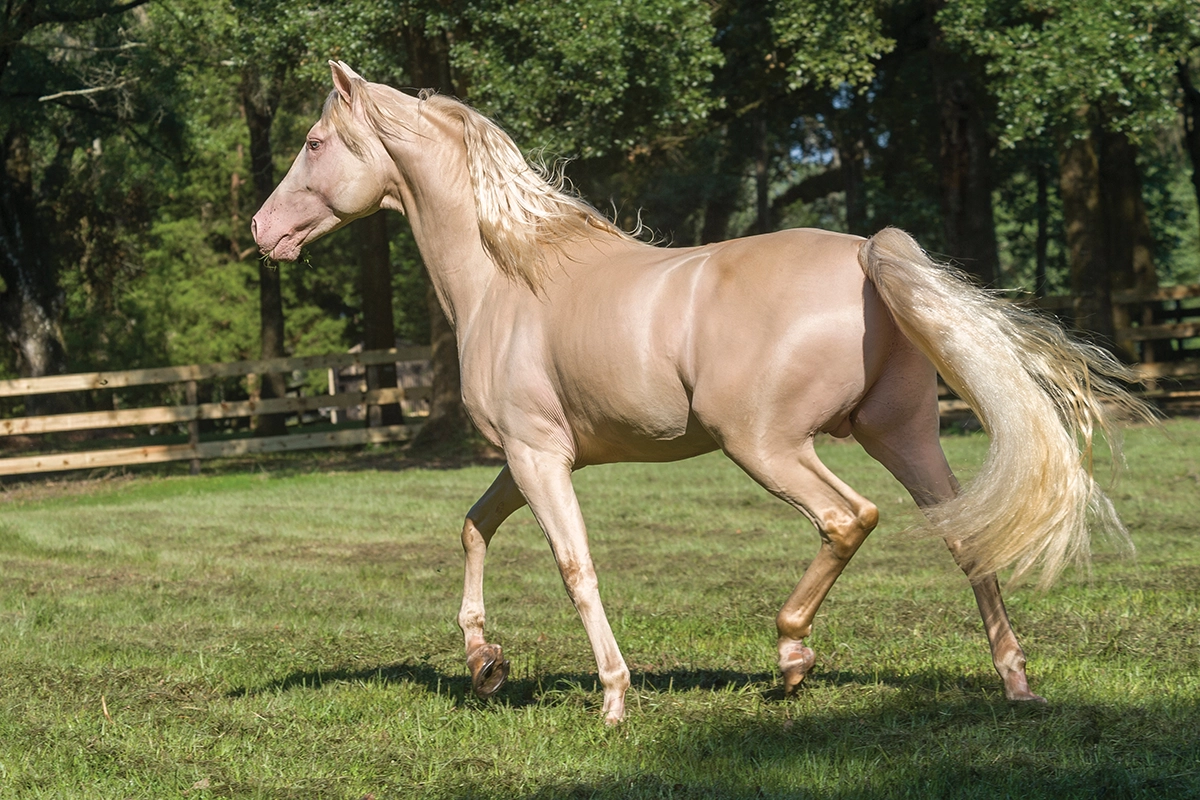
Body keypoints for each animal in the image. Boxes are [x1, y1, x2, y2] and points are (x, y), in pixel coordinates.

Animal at [252, 62, 1150, 724]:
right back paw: (1015, 683)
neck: (508, 277)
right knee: (969, 541)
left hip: (767, 445)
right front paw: (484, 663)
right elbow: (474, 529)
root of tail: (865, 253)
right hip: (903, 435)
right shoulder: (528, 457)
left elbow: (574, 565)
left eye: (315, 140)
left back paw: (791, 657)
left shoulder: (540, 458)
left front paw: (613, 699)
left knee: (847, 518)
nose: (262, 231)